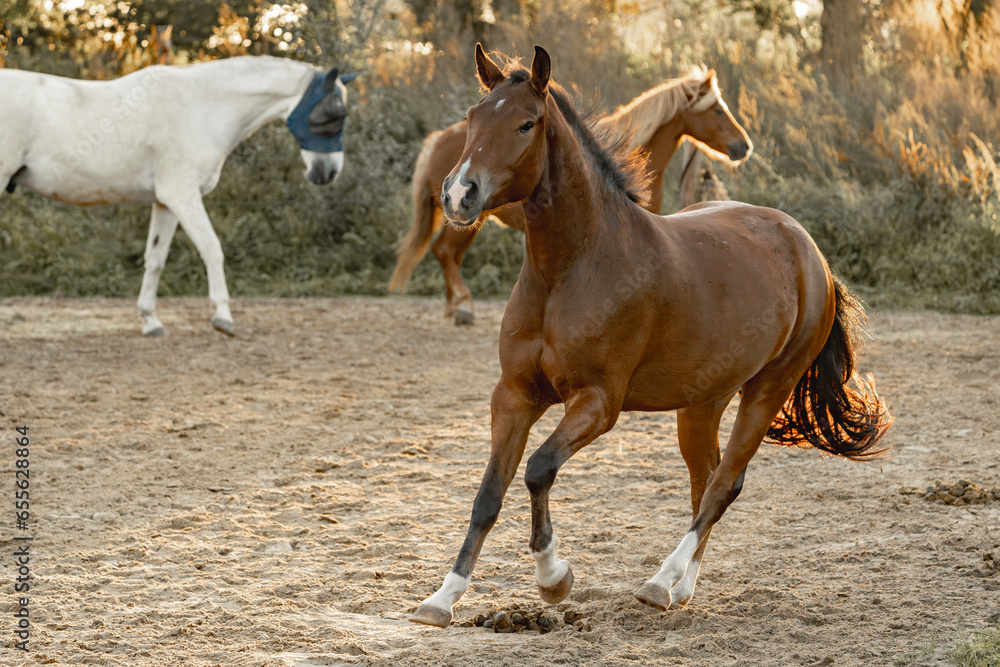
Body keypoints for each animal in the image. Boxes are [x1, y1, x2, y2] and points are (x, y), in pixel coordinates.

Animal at [0, 56, 358, 337]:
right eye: (332, 114)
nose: (328, 173)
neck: (202, 107)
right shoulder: (183, 195)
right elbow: (212, 249)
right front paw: (223, 317)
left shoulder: (166, 202)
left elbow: (156, 258)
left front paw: (151, 321)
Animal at [389, 66, 751, 325]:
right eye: (718, 110)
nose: (743, 146)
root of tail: (437, 140)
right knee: (444, 251)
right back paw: (463, 308)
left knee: (447, 253)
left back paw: (454, 308)